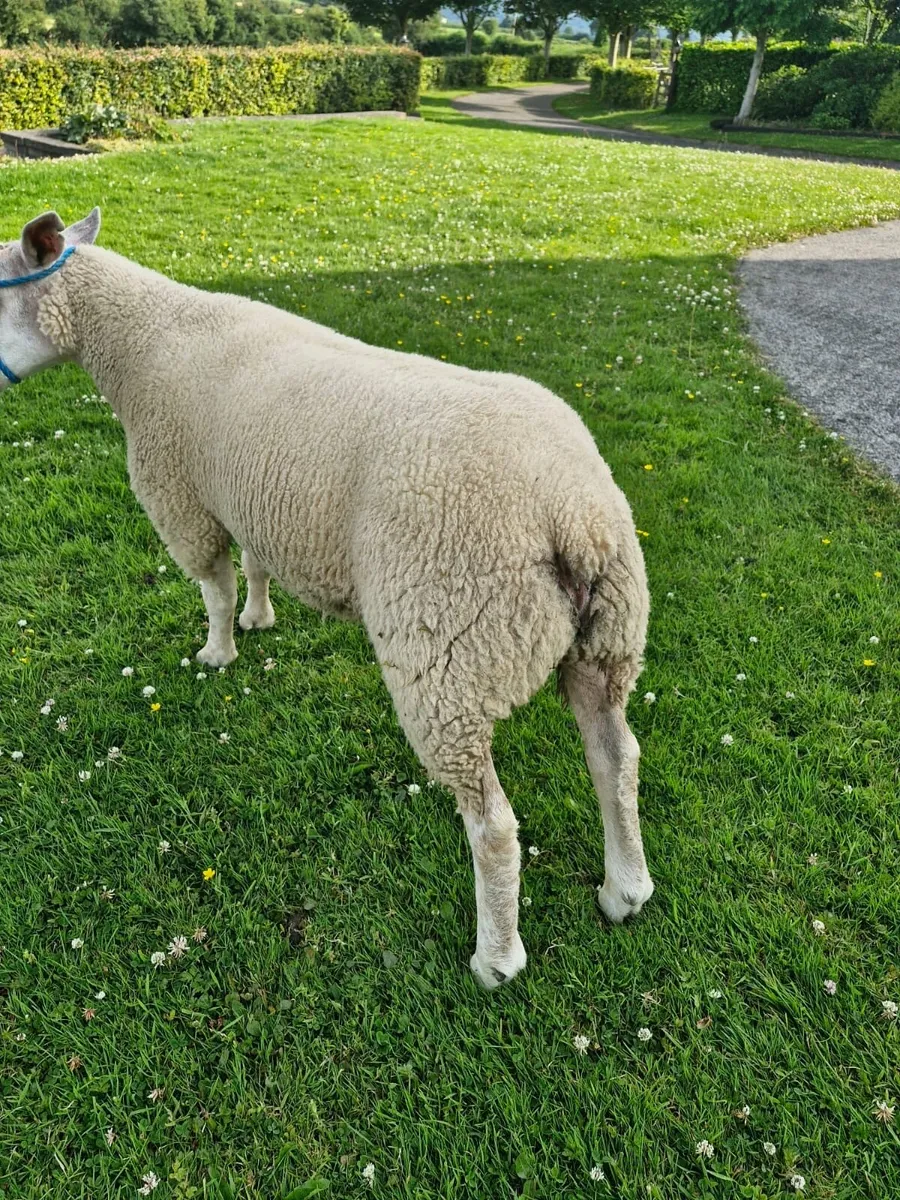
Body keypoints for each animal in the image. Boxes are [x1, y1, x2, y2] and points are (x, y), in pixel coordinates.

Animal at [0, 208, 654, 988]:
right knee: (616, 759)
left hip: (449, 653)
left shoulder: (183, 499)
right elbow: (253, 567)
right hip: (607, 638)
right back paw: (625, 890)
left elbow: (213, 586)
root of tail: (573, 515)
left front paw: (218, 650)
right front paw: (259, 618)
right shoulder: (252, 495)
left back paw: (496, 957)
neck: (144, 340)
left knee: (493, 825)